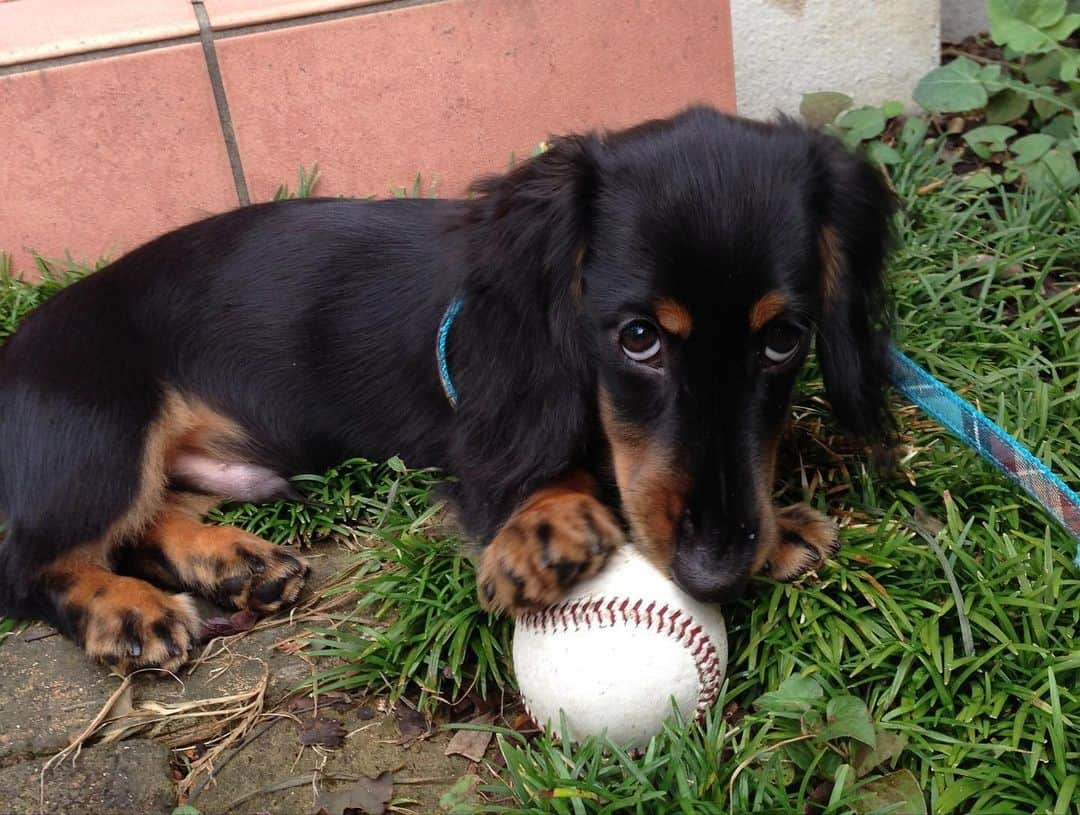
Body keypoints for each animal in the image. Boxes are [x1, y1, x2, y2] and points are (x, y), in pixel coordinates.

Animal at [0, 105, 894, 673]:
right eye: (637, 337)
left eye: (784, 339)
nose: (714, 574)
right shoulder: (489, 427)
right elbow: (563, 468)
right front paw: (546, 522)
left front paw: (779, 527)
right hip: (100, 437)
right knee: (35, 561)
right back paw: (126, 609)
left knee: (147, 521)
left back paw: (233, 560)